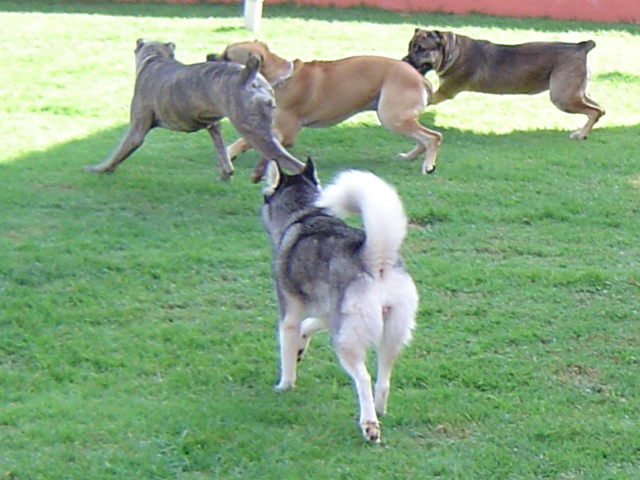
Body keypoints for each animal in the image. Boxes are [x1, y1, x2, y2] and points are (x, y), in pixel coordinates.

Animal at [86, 38, 304, 181]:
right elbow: (222, 153)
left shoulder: (136, 130)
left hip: (254, 132)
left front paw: (100, 168)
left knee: (294, 164)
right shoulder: (213, 125)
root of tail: (249, 77)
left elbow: (118, 153)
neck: (155, 59)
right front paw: (226, 173)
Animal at [262, 158, 420, 442]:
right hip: (389, 334)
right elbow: (308, 326)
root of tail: (375, 260)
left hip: (347, 342)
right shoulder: (329, 313)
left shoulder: (289, 314)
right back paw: (379, 409)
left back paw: (370, 425)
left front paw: (285, 385)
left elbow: (287, 349)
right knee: (383, 379)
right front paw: (301, 347)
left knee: (364, 378)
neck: (303, 213)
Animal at [404, 29, 604, 139]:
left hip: (563, 97)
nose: (404, 61)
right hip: (577, 92)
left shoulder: (445, 91)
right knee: (600, 110)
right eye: (410, 46)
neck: (453, 51)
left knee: (594, 111)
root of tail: (581, 47)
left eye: (421, 48)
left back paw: (581, 134)